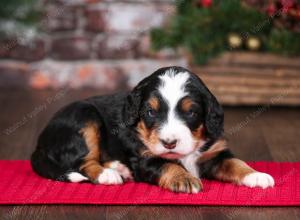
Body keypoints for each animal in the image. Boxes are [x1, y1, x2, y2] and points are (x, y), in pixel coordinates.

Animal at [31, 66, 274, 193]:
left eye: (191, 113)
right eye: (150, 112)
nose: (169, 143)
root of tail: (39, 143)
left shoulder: (215, 152)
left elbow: (235, 163)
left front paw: (256, 175)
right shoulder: (145, 158)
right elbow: (167, 164)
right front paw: (185, 178)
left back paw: (118, 168)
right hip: (85, 117)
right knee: (83, 161)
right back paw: (109, 174)